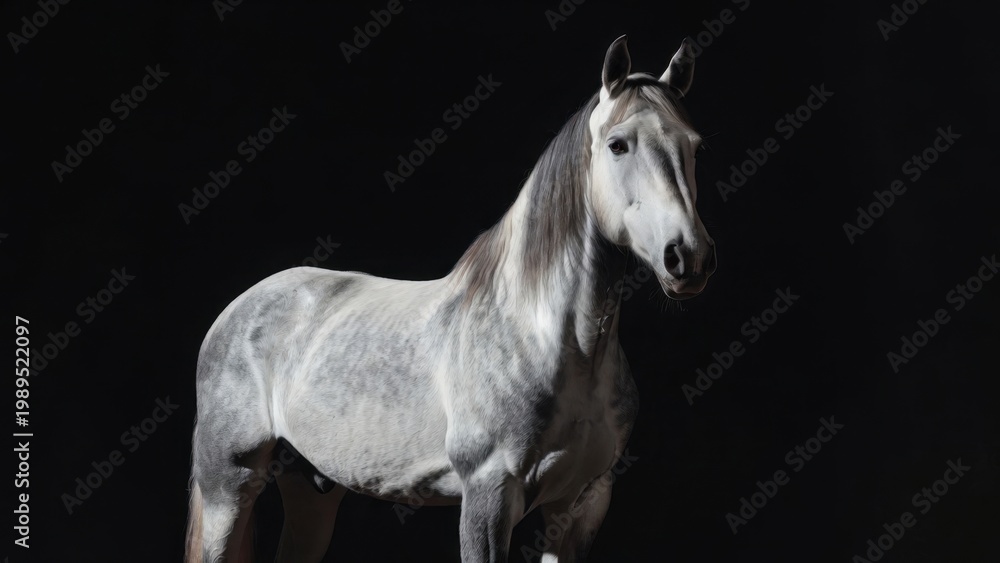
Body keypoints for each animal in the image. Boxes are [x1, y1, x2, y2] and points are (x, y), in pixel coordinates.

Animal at [185, 34, 717, 563]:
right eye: (617, 144)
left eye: (695, 147)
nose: (688, 256)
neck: (551, 338)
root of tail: (236, 309)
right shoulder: (488, 495)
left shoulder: (582, 503)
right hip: (229, 485)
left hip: (311, 488)